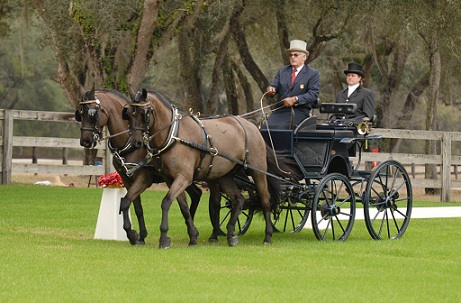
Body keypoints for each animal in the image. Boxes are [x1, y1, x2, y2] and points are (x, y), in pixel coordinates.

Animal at [75, 86, 201, 246]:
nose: (85, 141)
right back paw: (194, 231)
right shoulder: (127, 179)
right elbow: (136, 206)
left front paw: (132, 234)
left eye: (92, 114)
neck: (129, 142)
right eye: (79, 113)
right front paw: (141, 236)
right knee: (196, 194)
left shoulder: (143, 179)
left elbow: (125, 202)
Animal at [122, 88, 286, 249]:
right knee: (238, 199)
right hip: (224, 176)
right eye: (128, 114)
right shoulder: (170, 180)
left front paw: (164, 238)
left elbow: (166, 202)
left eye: (144, 114)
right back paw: (231, 234)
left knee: (265, 200)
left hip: (257, 171)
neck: (173, 135)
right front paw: (192, 237)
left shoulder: (183, 178)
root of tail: (252, 125)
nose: (136, 143)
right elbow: (183, 207)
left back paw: (267, 236)